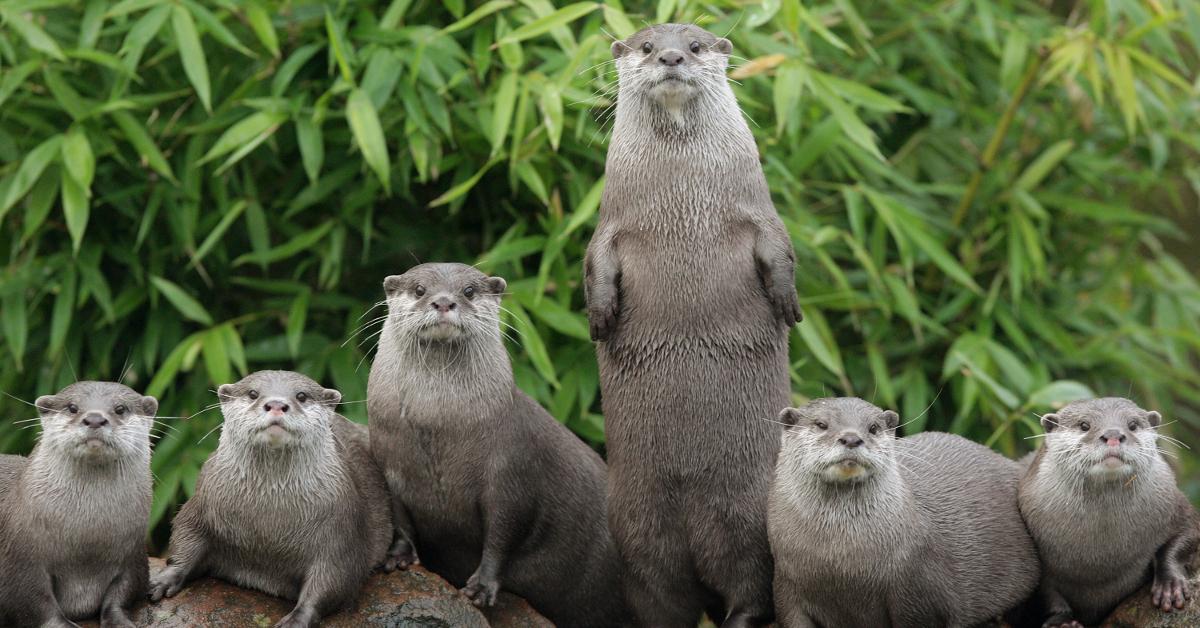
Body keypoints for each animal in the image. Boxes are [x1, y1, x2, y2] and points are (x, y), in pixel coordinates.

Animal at [367, 262, 628, 624]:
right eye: (419, 289)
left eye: (469, 291)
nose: (444, 301)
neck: (434, 425)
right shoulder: (388, 465)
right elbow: (400, 519)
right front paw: (398, 557)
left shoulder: (510, 470)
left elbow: (504, 530)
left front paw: (482, 586)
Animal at [580, 22, 796, 624]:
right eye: (647, 47)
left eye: (696, 45)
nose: (673, 57)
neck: (682, 195)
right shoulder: (610, 225)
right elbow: (594, 262)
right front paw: (600, 316)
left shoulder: (760, 215)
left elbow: (781, 251)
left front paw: (787, 303)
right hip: (634, 529)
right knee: (659, 594)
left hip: (751, 514)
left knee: (752, 585)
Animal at [768, 398, 1041, 628]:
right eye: (821, 424)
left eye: (873, 428)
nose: (851, 438)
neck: (839, 563)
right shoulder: (785, 583)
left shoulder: (918, 587)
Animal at [1017, 401, 1195, 624]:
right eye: (1084, 425)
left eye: (1132, 425)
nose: (1113, 434)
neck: (1103, 559)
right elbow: (1044, 592)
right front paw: (1062, 620)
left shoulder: (1175, 505)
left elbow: (1185, 536)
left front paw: (1169, 585)